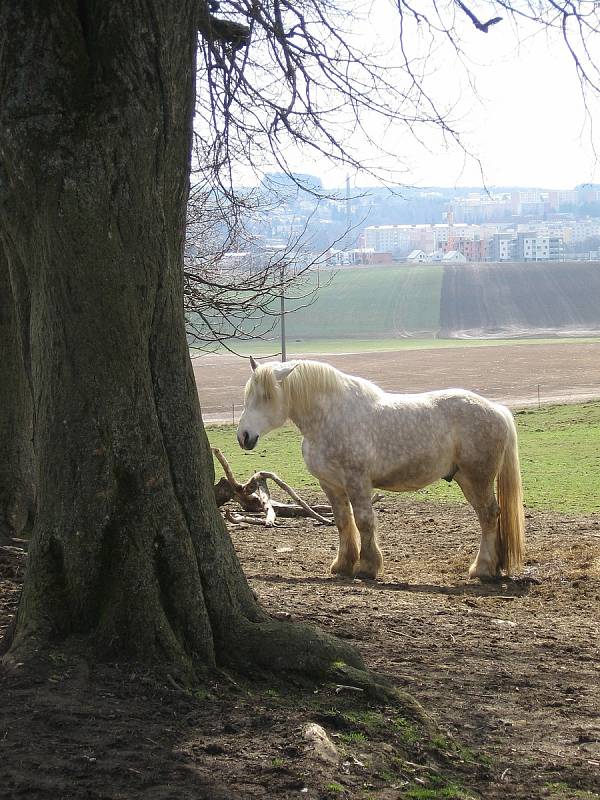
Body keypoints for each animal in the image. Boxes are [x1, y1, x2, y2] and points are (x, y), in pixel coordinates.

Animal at [236, 358, 524, 580]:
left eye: (267, 396)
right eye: (247, 395)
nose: (244, 436)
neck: (331, 417)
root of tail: (497, 410)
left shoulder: (357, 481)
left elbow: (364, 521)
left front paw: (367, 567)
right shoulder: (331, 485)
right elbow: (343, 521)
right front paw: (343, 565)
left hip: (478, 479)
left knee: (488, 516)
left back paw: (482, 569)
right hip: (466, 479)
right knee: (488, 516)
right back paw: (493, 566)